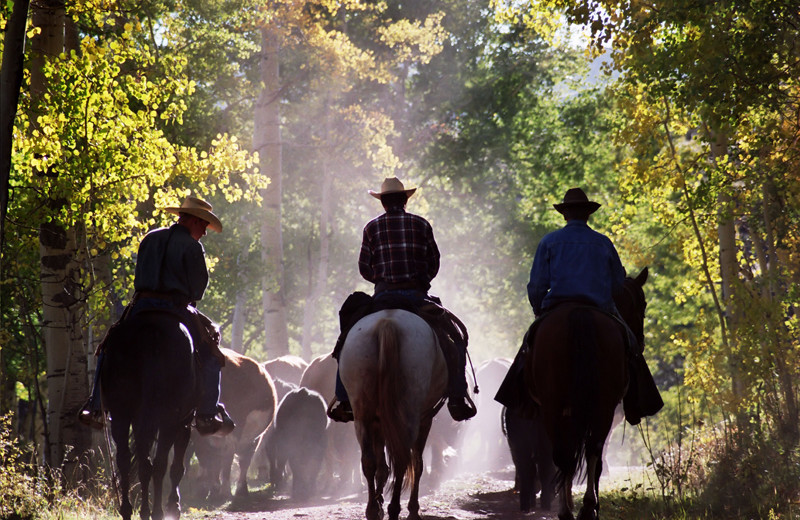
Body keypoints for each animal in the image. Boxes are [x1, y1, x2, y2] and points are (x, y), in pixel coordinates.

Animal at [100, 310, 197, 520]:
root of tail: (149, 331)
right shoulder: (184, 422)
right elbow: (177, 466)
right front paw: (173, 506)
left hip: (121, 415)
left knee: (128, 461)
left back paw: (129, 510)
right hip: (169, 420)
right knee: (159, 464)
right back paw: (157, 511)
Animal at [340, 308, 450, 520]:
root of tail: (387, 323)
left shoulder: (378, 422)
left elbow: (381, 466)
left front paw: (379, 503)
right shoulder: (425, 419)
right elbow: (418, 463)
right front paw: (412, 509)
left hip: (362, 412)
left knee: (369, 461)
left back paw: (373, 510)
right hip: (411, 414)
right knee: (403, 459)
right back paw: (395, 509)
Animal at [524, 266, 648, 516]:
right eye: (643, 305)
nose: (640, 342)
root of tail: (580, 314)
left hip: (560, 406)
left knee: (570, 452)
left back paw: (574, 509)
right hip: (599, 406)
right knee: (589, 450)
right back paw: (586, 506)